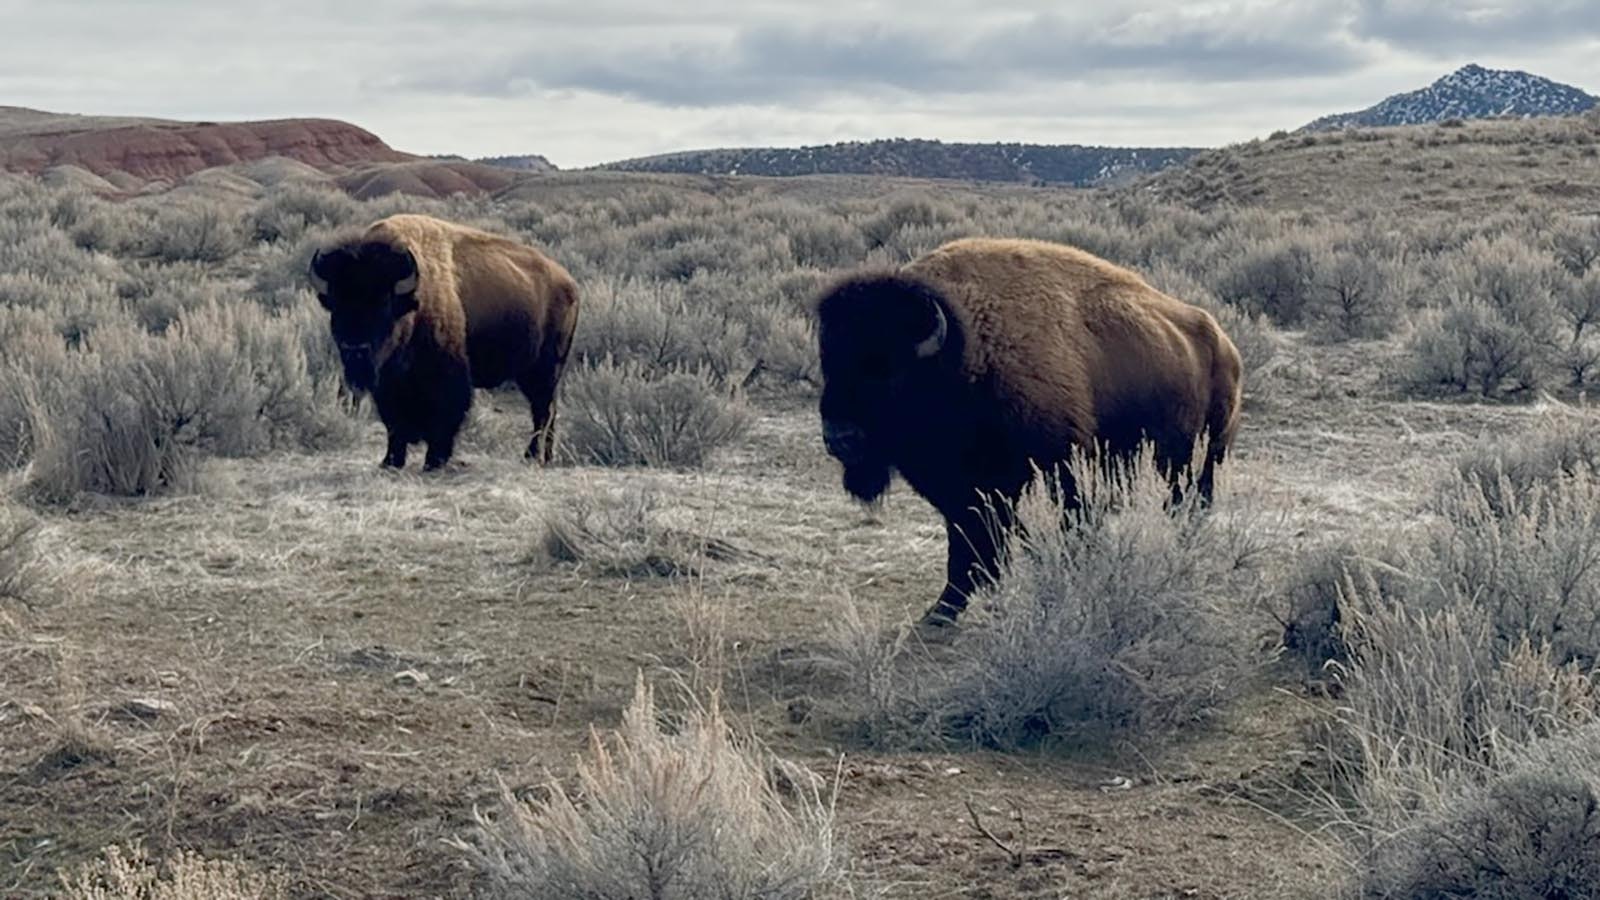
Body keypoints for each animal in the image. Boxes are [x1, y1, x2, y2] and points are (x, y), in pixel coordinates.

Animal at [308, 212, 579, 470]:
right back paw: (546, 457)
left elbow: (444, 418)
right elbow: (394, 423)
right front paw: (390, 461)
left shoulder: (447, 376)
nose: (355, 349)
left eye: (383, 306)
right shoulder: (387, 384)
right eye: (336, 307)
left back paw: (531, 456)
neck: (414, 304)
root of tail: (570, 284)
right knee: (548, 410)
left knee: (542, 411)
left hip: (544, 370)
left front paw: (433, 461)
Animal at [819, 235, 1241, 624]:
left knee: (1190, 506)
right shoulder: (963, 488)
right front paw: (943, 611)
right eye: (828, 361)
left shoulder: (1059, 469)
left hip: (1204, 459)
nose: (839, 437)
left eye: (887, 370)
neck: (969, 346)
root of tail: (1224, 343)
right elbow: (971, 541)